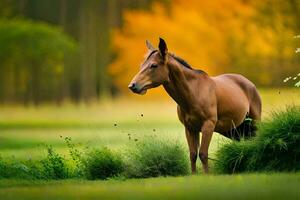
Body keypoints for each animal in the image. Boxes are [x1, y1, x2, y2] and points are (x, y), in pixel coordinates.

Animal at [127, 38, 262, 173]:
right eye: (142, 66)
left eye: (153, 65)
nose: (132, 86)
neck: (194, 92)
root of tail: (249, 84)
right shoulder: (190, 128)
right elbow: (193, 154)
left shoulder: (208, 125)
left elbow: (203, 154)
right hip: (235, 129)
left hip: (254, 122)